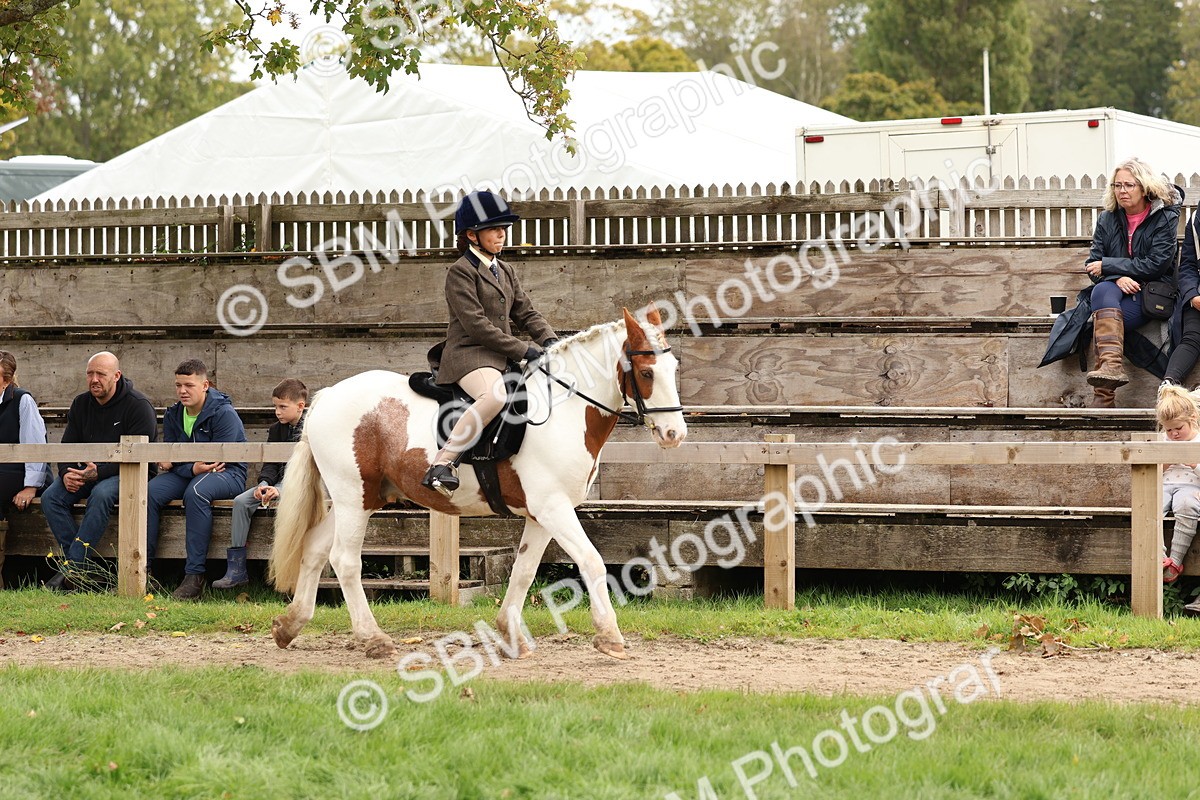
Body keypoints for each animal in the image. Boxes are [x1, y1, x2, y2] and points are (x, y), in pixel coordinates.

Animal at [268, 307, 688, 660]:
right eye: (647, 373)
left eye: (673, 368)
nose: (675, 434)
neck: (564, 410)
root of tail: (326, 397)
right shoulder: (554, 508)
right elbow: (591, 561)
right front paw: (610, 637)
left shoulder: (541, 514)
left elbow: (523, 571)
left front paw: (511, 636)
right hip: (353, 498)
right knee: (345, 560)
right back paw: (373, 639)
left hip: (359, 499)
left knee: (315, 549)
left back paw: (288, 626)